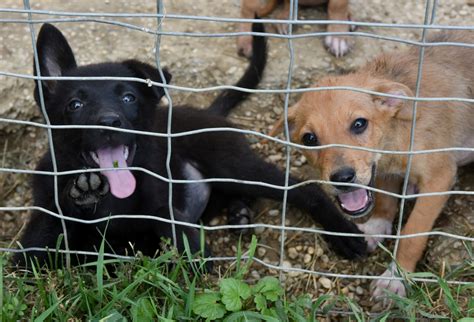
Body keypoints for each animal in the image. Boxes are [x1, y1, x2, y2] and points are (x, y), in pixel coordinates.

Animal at [12, 21, 366, 266]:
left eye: (128, 98)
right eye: (75, 104)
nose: (109, 123)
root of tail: (208, 111)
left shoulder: (166, 215)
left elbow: (183, 246)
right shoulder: (40, 227)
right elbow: (31, 255)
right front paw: (81, 195)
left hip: (233, 165)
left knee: (303, 190)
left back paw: (344, 235)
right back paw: (239, 213)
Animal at [270, 30, 474, 300]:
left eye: (359, 124)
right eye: (309, 139)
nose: (343, 178)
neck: (396, 134)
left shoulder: (439, 177)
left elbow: (412, 233)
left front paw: (395, 277)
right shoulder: (385, 171)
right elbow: (385, 202)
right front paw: (373, 229)